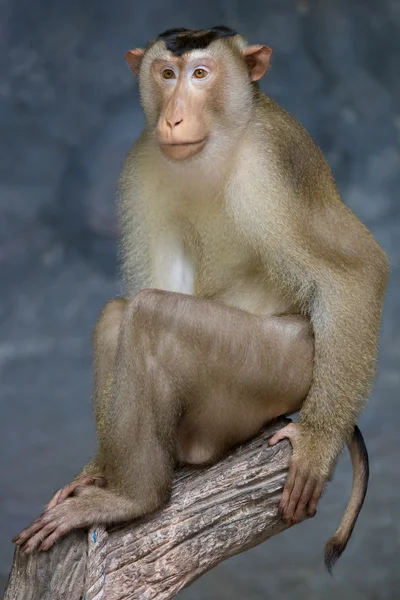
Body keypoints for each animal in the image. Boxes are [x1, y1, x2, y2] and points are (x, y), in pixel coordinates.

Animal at [14, 27, 390, 572]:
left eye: (200, 74)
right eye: (167, 74)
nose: (173, 116)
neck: (223, 139)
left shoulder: (275, 163)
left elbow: (357, 271)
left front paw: (317, 446)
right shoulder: (144, 162)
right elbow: (163, 278)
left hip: (278, 372)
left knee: (150, 316)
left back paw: (133, 497)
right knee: (120, 315)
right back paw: (112, 474)